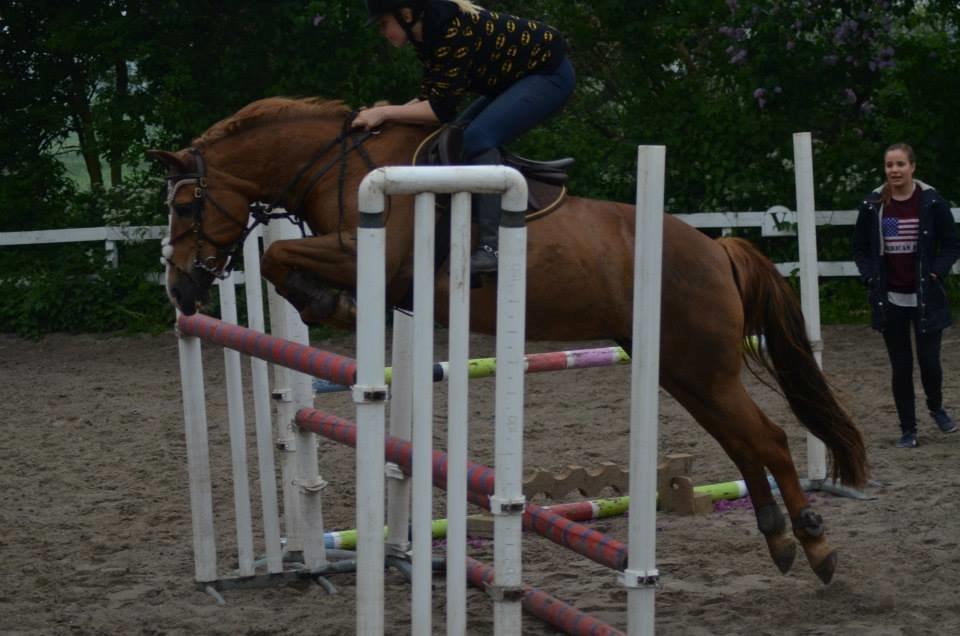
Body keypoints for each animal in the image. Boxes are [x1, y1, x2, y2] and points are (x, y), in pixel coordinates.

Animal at [152, 95, 872, 580]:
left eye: (186, 205)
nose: (180, 288)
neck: (339, 163)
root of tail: (716, 248)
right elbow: (281, 259)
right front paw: (323, 299)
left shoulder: (370, 252)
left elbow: (279, 257)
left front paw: (328, 301)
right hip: (682, 370)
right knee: (743, 443)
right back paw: (781, 538)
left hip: (701, 367)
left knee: (767, 440)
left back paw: (815, 543)